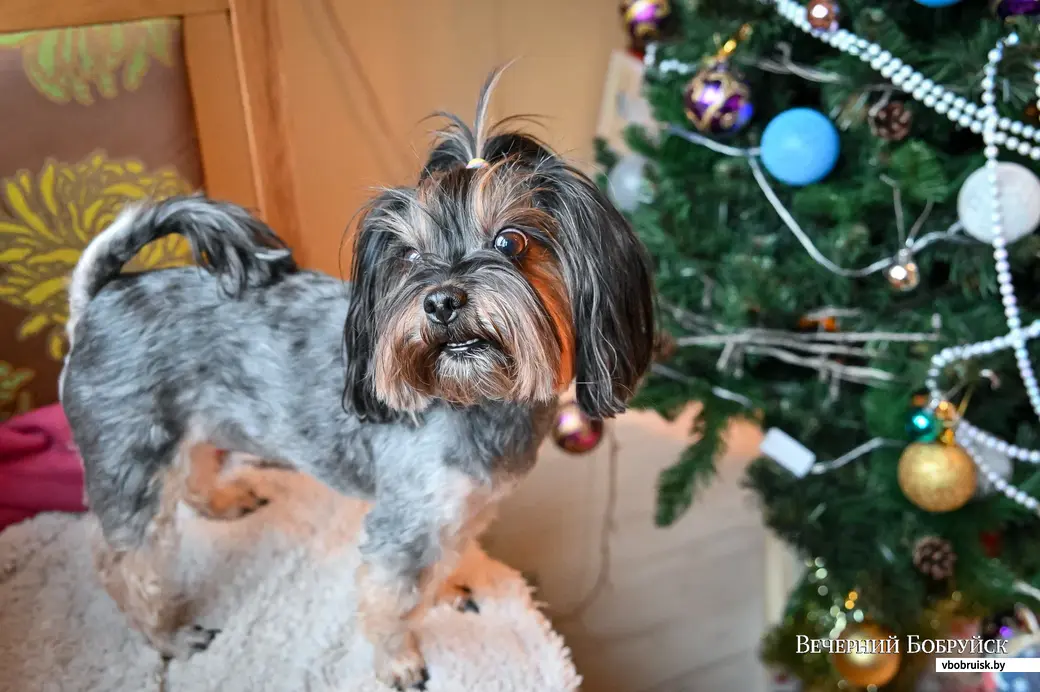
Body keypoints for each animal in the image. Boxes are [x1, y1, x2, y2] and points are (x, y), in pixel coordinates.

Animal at [59, 70, 648, 686]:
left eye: (511, 241)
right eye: (409, 256)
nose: (441, 301)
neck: (475, 398)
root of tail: (98, 296)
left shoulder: (463, 508)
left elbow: (446, 559)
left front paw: (450, 587)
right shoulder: (407, 521)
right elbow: (393, 600)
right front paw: (400, 662)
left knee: (194, 468)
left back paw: (221, 502)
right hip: (131, 456)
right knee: (125, 561)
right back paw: (168, 636)